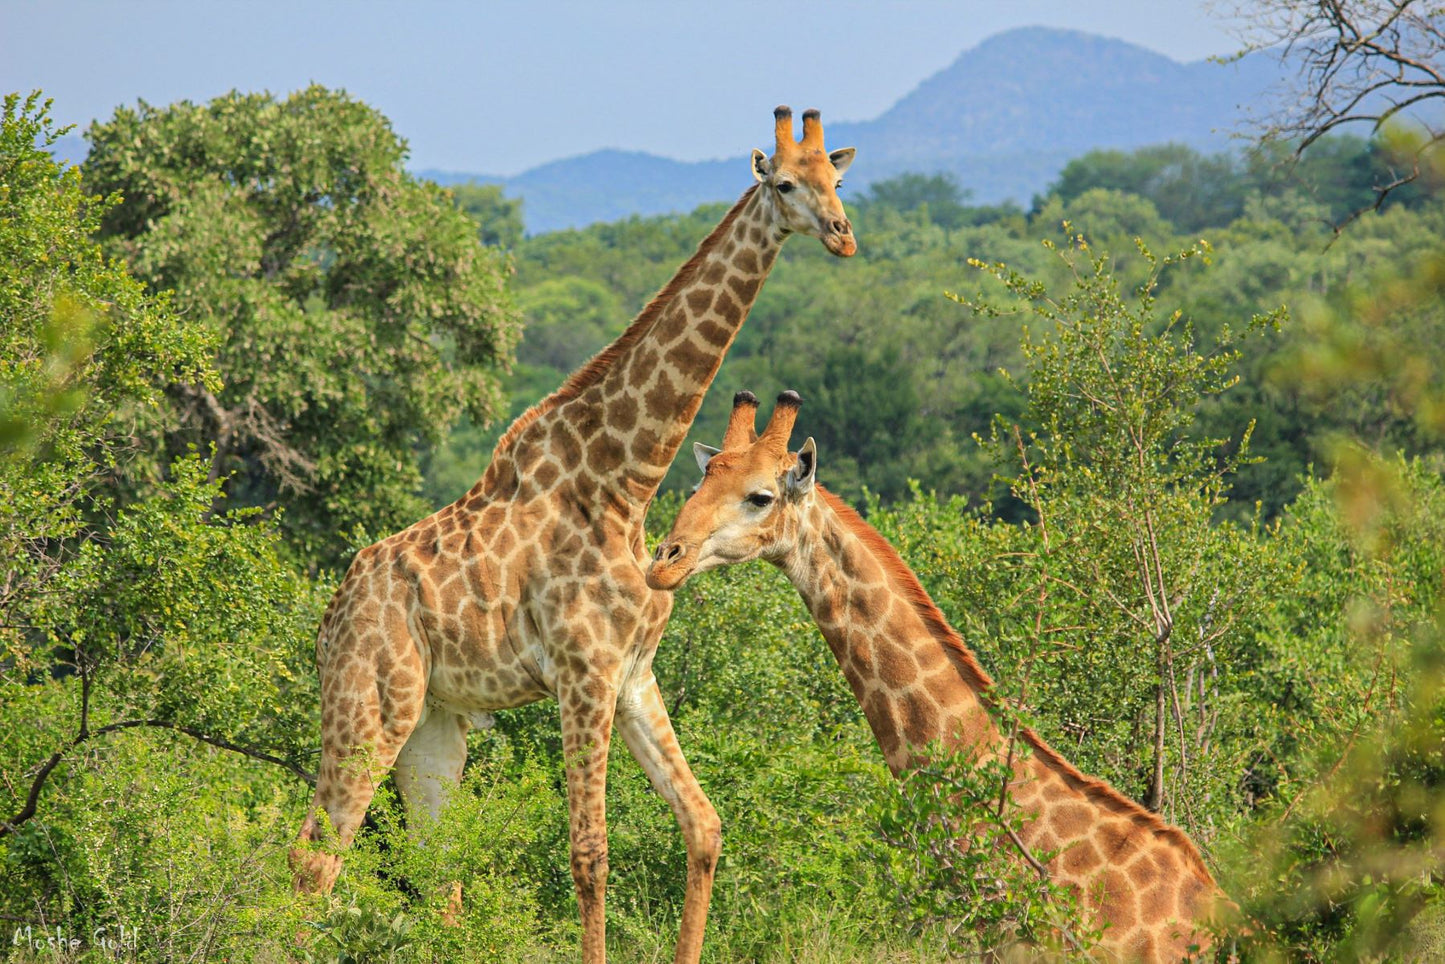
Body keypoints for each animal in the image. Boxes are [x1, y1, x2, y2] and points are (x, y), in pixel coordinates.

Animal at [290, 107, 855, 964]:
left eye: (838, 179)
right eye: (785, 183)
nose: (841, 234)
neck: (625, 479)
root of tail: (330, 617)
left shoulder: (632, 674)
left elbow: (704, 826)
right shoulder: (581, 672)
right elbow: (590, 852)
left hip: (433, 722)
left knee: (433, 865)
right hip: (369, 700)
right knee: (316, 857)